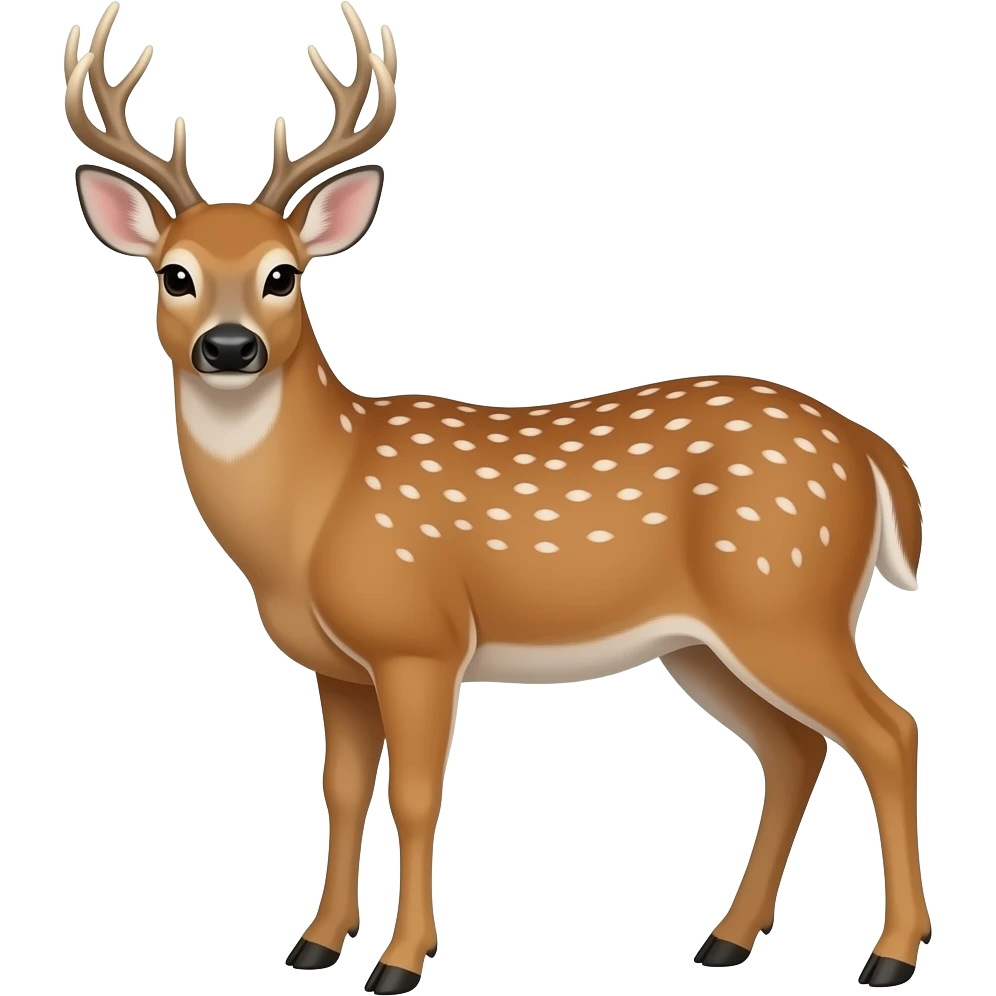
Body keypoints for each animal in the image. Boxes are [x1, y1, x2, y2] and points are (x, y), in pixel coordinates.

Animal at [63, 5, 929, 992]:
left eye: (285, 273)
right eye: (174, 273)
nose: (230, 346)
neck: (312, 512)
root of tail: (868, 449)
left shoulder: (421, 637)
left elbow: (416, 794)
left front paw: (400, 962)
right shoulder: (338, 664)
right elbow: (341, 790)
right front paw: (315, 944)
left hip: (787, 598)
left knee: (887, 732)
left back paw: (889, 956)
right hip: (708, 640)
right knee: (795, 749)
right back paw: (725, 940)